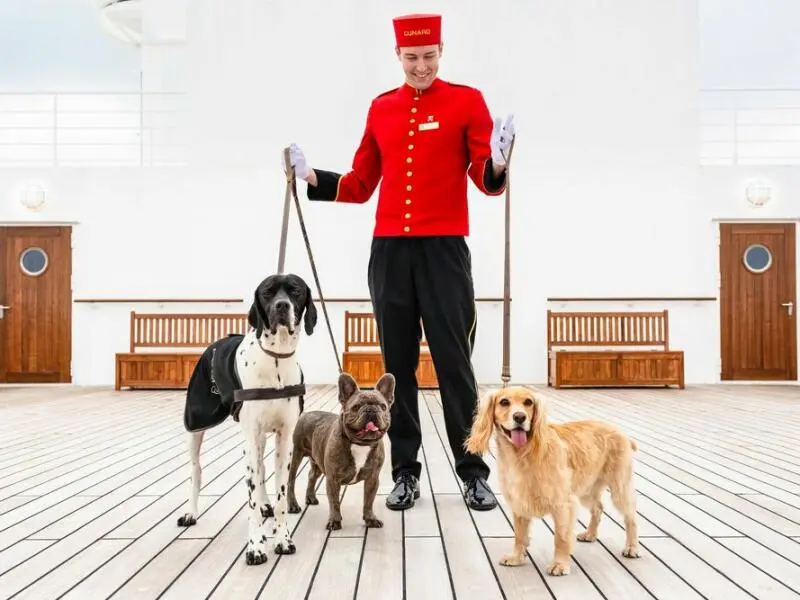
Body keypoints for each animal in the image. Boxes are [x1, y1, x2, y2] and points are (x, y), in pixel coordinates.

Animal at [177, 274, 318, 564]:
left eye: (296, 291)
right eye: (267, 292)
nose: (282, 306)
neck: (276, 359)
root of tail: (215, 344)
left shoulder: (284, 437)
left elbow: (281, 493)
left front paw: (283, 538)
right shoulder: (251, 435)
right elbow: (251, 498)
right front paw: (255, 546)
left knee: (261, 469)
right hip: (196, 423)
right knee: (196, 471)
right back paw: (191, 512)